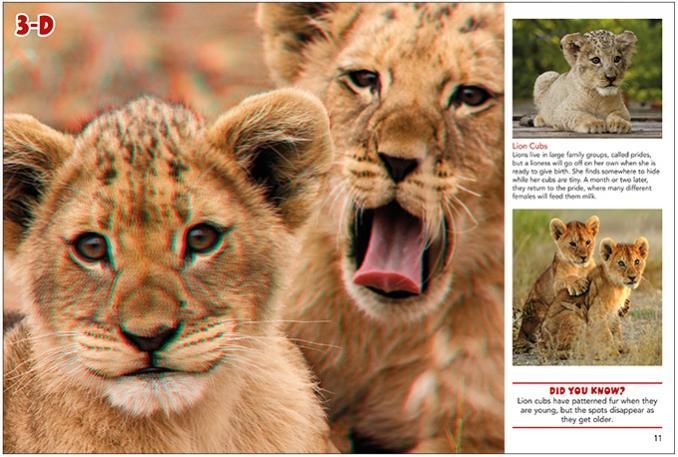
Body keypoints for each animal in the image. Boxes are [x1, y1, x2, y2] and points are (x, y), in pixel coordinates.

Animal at [515, 215, 599, 352]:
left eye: (588, 242)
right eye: (573, 244)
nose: (584, 257)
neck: (580, 268)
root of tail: (520, 332)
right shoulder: (556, 283)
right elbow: (566, 279)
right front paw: (578, 283)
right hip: (537, 308)